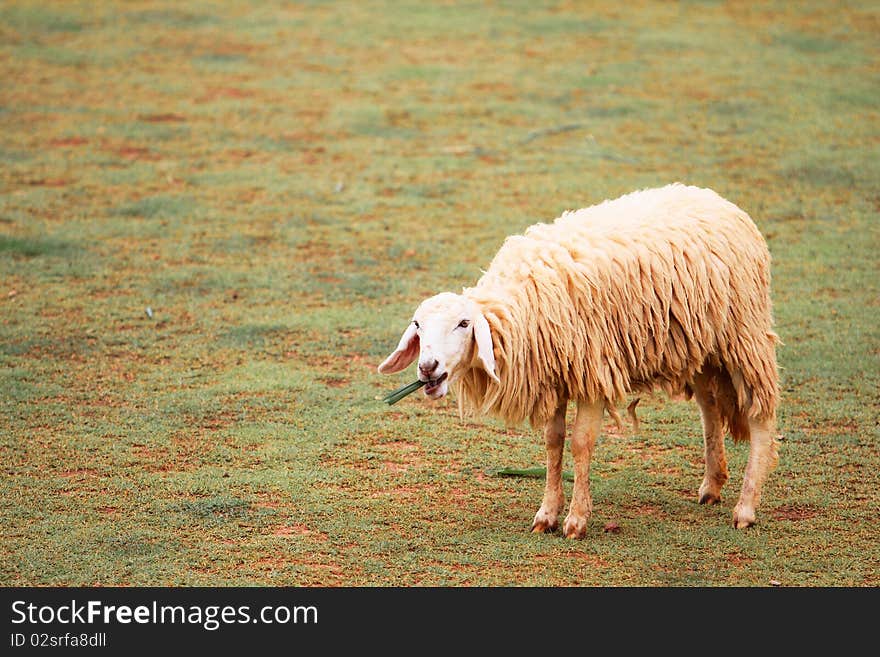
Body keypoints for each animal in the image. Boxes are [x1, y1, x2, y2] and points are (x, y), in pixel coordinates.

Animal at [376, 182, 776, 536]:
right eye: (417, 325)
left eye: (464, 323)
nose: (427, 368)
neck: (522, 308)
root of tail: (718, 200)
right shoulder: (554, 375)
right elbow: (553, 441)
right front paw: (546, 514)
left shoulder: (594, 372)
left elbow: (581, 443)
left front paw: (577, 520)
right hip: (702, 345)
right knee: (710, 406)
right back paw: (712, 483)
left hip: (745, 335)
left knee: (760, 416)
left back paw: (745, 508)